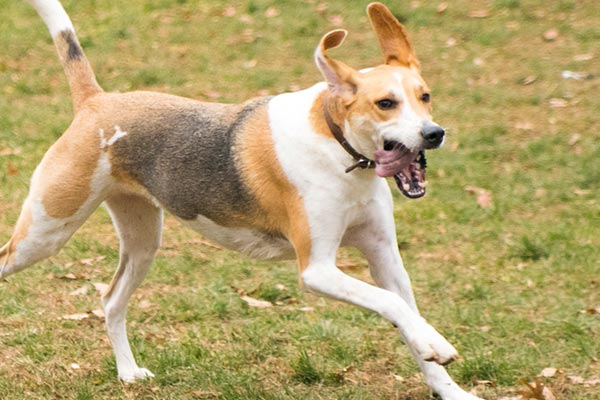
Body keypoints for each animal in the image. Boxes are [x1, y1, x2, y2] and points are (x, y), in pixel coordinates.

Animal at [2, 1, 482, 398]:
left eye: (425, 96)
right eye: (386, 103)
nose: (433, 134)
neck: (336, 143)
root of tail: (96, 102)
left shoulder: (385, 260)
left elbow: (405, 312)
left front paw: (446, 380)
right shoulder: (317, 270)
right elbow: (392, 305)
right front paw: (436, 343)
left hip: (143, 242)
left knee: (111, 299)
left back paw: (127, 373)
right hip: (47, 230)